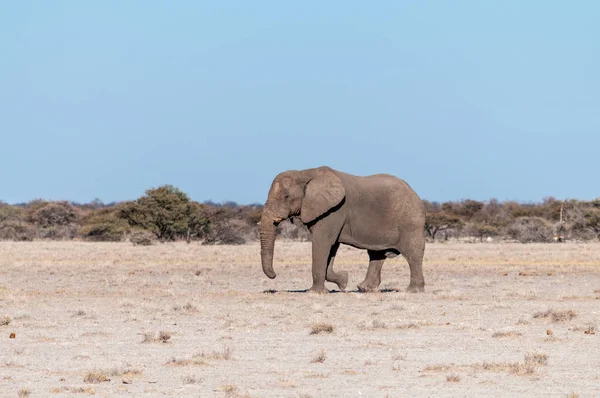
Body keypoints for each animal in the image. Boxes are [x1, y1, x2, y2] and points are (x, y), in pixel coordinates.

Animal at [258, 166, 426, 294]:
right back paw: (364, 289)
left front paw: (315, 293)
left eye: (286, 197)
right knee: (376, 254)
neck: (306, 173)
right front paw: (344, 281)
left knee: (412, 254)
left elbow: (323, 242)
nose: (275, 275)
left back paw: (413, 290)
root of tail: (414, 192)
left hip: (411, 221)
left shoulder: (334, 211)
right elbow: (331, 247)